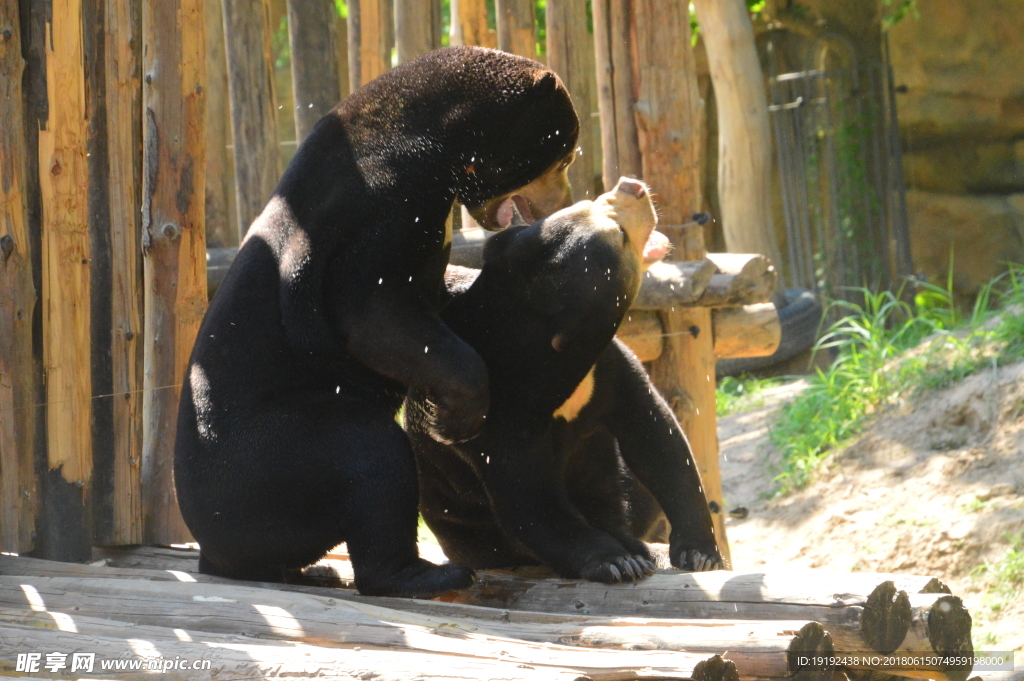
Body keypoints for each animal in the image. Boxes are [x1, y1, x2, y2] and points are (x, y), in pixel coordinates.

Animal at [172, 46, 581, 593]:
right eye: (564, 159)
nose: (567, 199)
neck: (441, 141)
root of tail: (209, 539)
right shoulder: (389, 204)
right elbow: (373, 310)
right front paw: (459, 415)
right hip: (269, 459)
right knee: (371, 455)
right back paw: (426, 574)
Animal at [405, 178, 720, 581]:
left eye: (589, 202)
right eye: (619, 235)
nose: (631, 185)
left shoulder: (610, 364)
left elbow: (657, 438)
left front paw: (700, 554)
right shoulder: (492, 421)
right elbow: (531, 502)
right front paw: (616, 562)